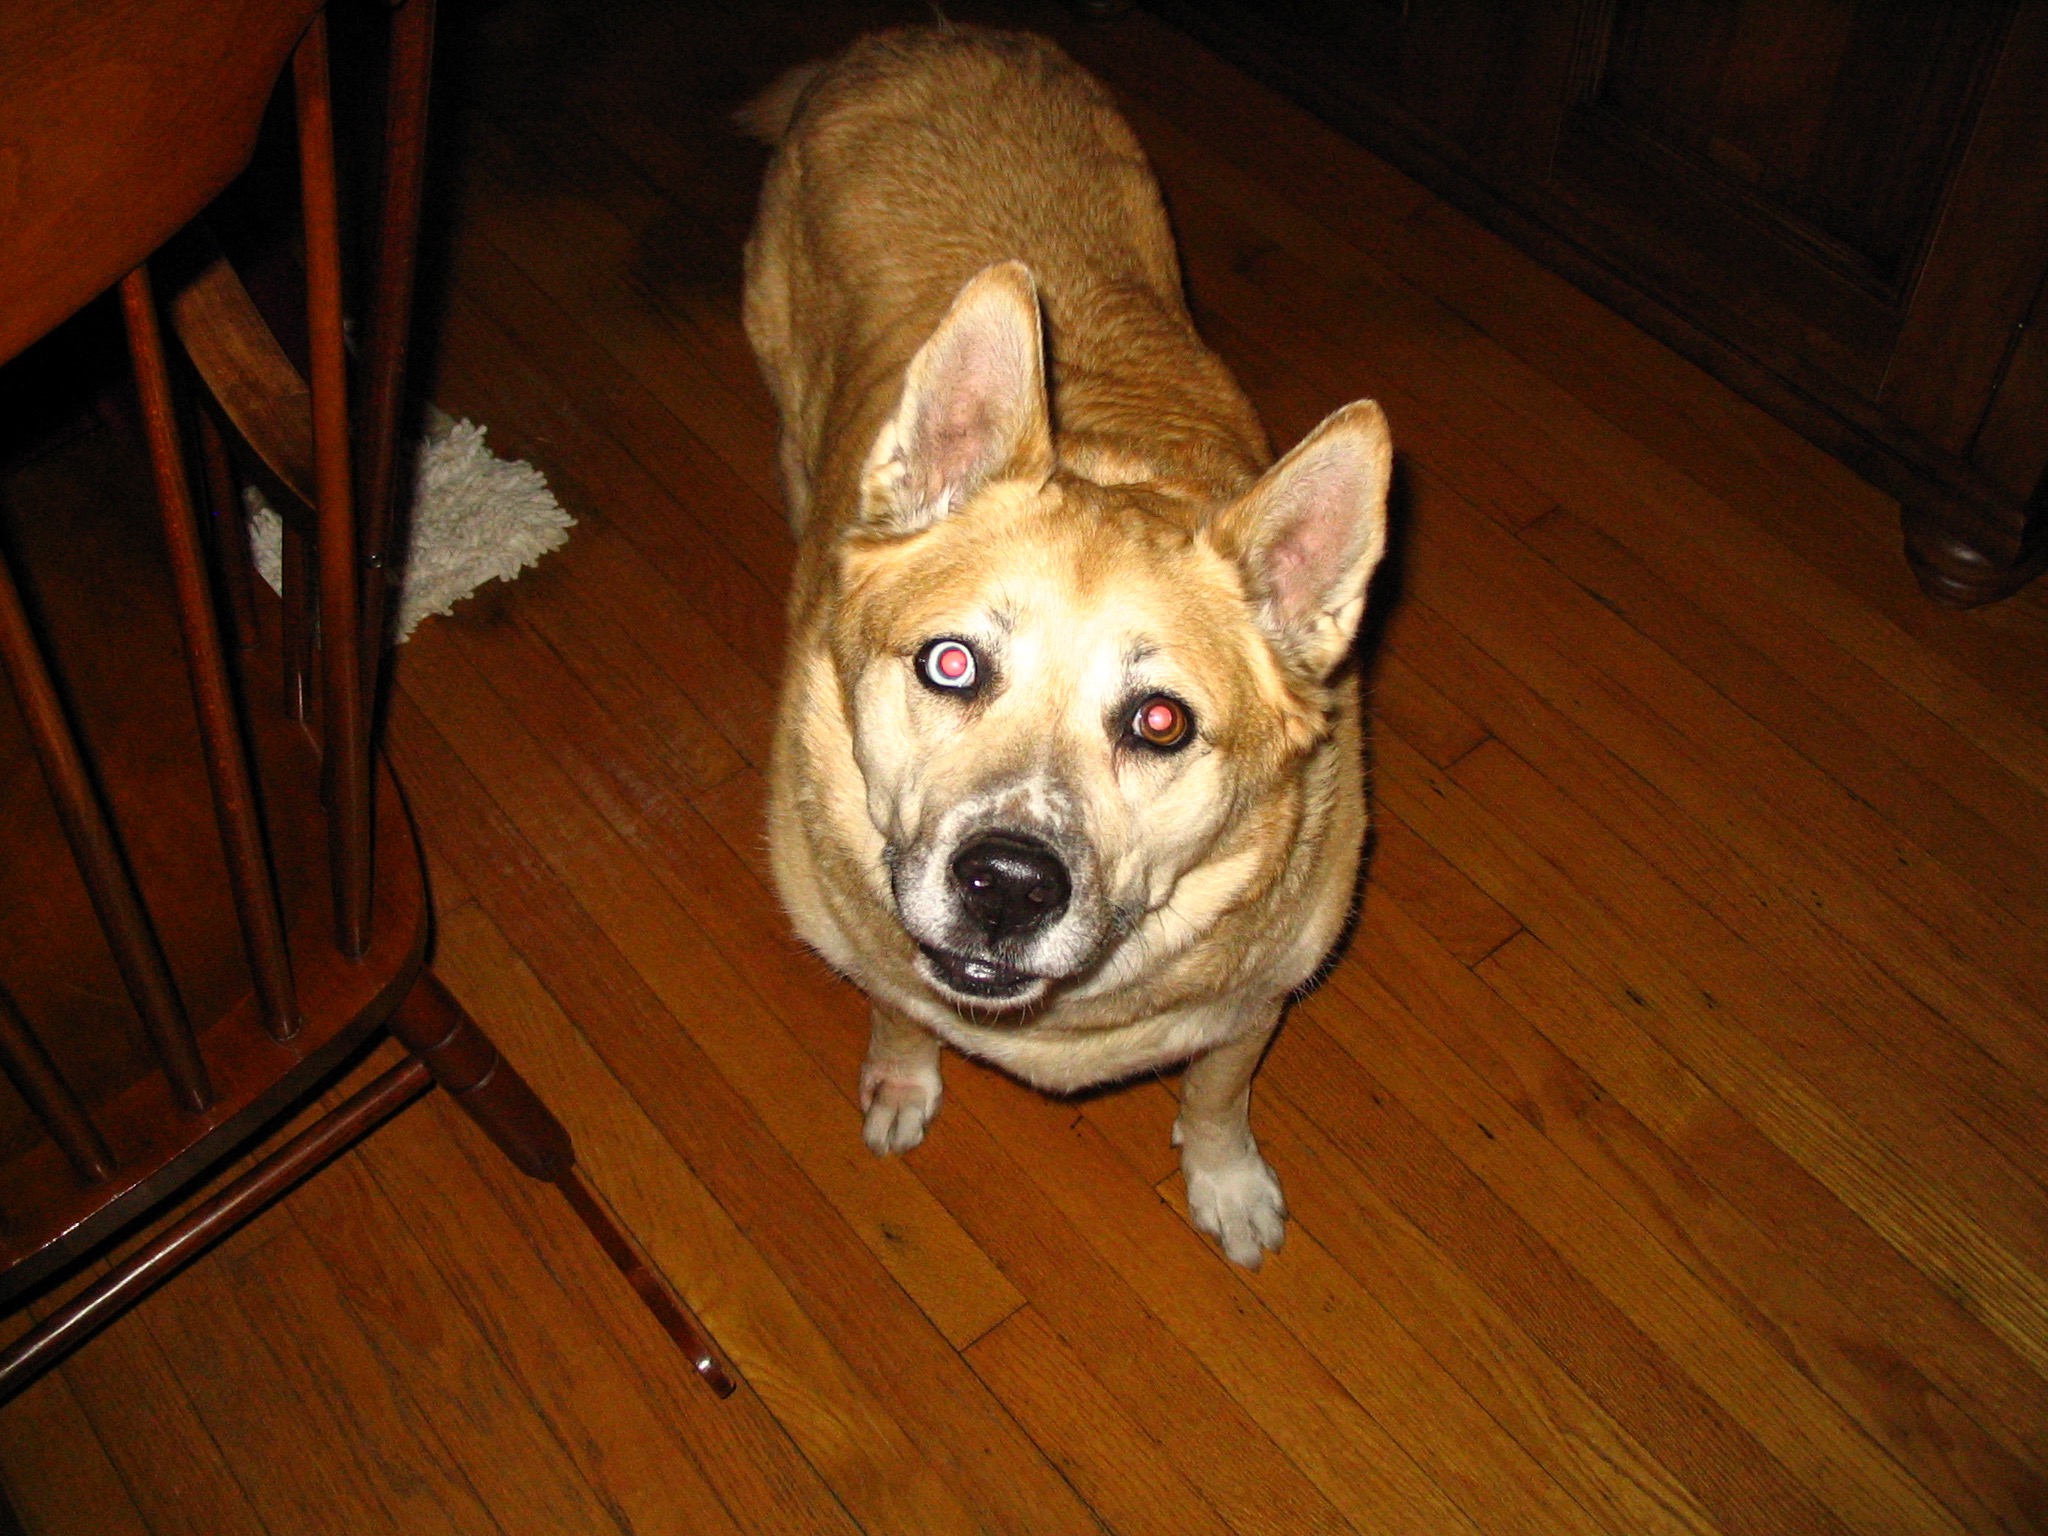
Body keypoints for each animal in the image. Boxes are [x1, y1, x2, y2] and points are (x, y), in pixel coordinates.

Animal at [740, 25, 1391, 1267]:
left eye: (1160, 721)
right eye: (950, 663)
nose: (1005, 884)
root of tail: (921, 34)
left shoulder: (1256, 1005)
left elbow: (1217, 1094)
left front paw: (1224, 1182)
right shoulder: (871, 945)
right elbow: (897, 1008)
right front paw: (901, 1080)